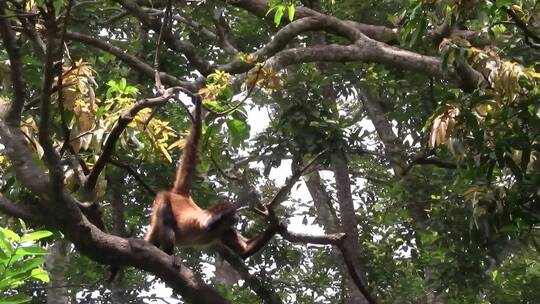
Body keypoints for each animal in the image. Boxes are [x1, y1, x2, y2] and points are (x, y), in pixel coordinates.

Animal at [141, 97, 280, 262]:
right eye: (234, 214)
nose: (238, 217)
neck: (220, 226)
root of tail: (181, 196)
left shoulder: (226, 230)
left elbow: (244, 251)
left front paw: (277, 226)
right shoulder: (215, 219)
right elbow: (209, 222)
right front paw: (248, 196)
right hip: (163, 198)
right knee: (167, 218)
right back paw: (169, 254)